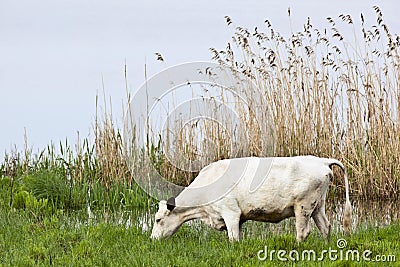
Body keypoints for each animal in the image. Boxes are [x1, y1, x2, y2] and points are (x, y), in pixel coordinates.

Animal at [150, 156, 350, 242]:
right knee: (325, 227)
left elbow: (233, 238)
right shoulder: (238, 218)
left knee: (303, 232)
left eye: (158, 220)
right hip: (318, 206)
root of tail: (321, 160)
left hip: (304, 206)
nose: (152, 239)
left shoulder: (230, 212)